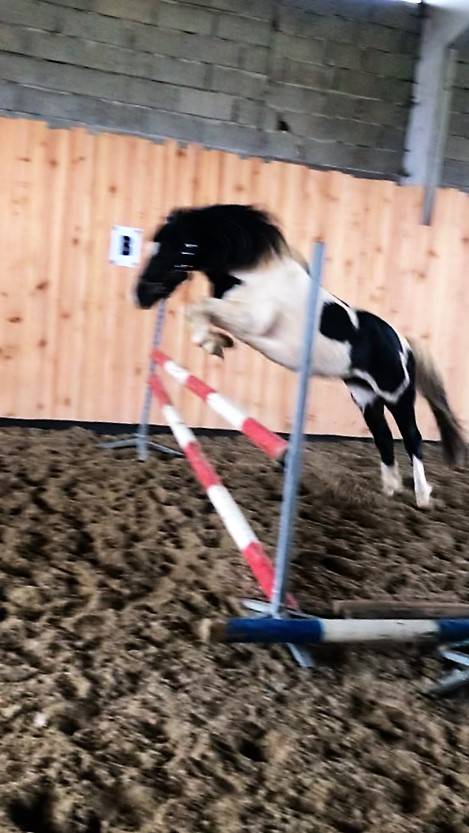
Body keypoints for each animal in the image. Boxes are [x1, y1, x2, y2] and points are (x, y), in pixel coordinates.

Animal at [133, 204, 466, 508]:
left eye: (178, 247)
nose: (141, 296)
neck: (253, 275)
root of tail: (403, 343)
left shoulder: (252, 319)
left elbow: (199, 307)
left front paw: (213, 343)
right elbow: (200, 310)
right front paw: (217, 341)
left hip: (397, 396)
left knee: (412, 438)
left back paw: (422, 497)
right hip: (366, 398)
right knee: (383, 436)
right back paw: (390, 490)